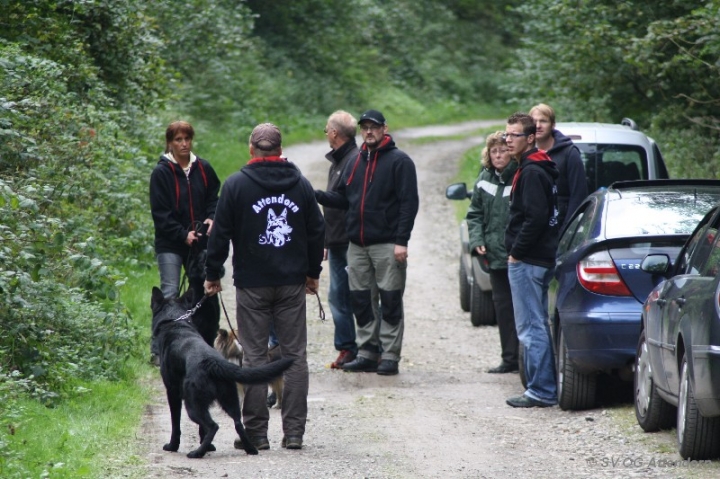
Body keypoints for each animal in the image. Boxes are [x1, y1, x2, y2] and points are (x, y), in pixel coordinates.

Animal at [150, 286, 294, 460]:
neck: (176, 323)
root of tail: (212, 362)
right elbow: (202, 429)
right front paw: (208, 445)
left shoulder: (172, 393)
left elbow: (176, 425)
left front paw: (173, 446)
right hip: (229, 400)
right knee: (238, 424)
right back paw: (250, 449)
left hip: (193, 404)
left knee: (213, 426)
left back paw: (198, 453)